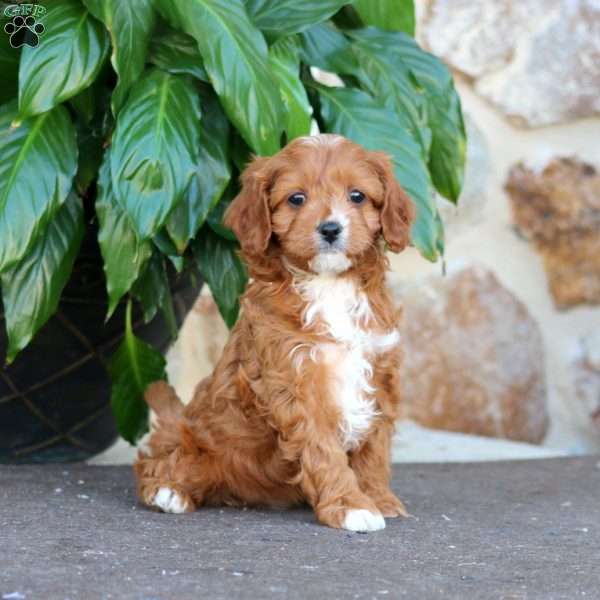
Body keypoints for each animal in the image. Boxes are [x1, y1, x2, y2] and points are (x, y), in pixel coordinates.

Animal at [135, 134, 418, 532]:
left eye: (357, 196)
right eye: (296, 198)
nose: (330, 228)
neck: (329, 285)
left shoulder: (378, 372)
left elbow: (374, 448)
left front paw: (378, 498)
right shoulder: (295, 382)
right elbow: (323, 450)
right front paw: (350, 506)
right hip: (194, 436)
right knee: (155, 461)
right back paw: (170, 491)